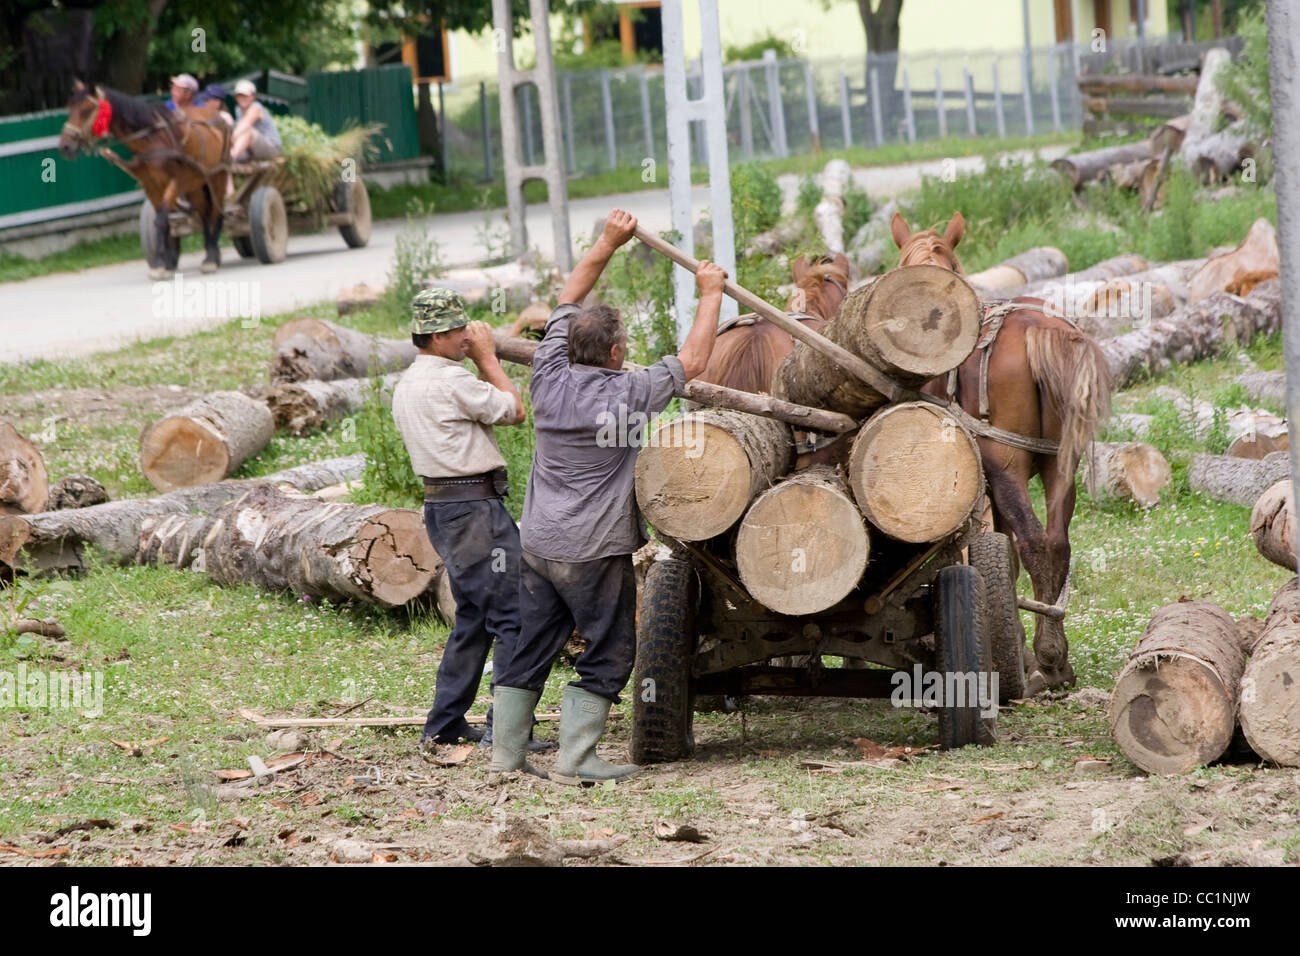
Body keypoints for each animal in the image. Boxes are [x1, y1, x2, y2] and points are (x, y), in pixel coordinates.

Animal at [59, 80, 231, 278]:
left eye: (86, 110)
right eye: (70, 109)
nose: (65, 147)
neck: (152, 140)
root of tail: (217, 116)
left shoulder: (175, 183)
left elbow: (162, 220)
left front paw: (160, 264)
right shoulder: (151, 186)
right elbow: (162, 222)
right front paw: (164, 263)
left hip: (218, 176)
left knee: (216, 213)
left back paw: (211, 257)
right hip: (196, 182)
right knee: (204, 213)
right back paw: (210, 252)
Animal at [899, 210, 1112, 697]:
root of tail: (1038, 329)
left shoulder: (990, 478)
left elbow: (1005, 554)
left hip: (1006, 467)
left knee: (1034, 542)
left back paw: (1047, 659)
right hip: (1059, 465)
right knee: (1056, 542)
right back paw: (1058, 660)